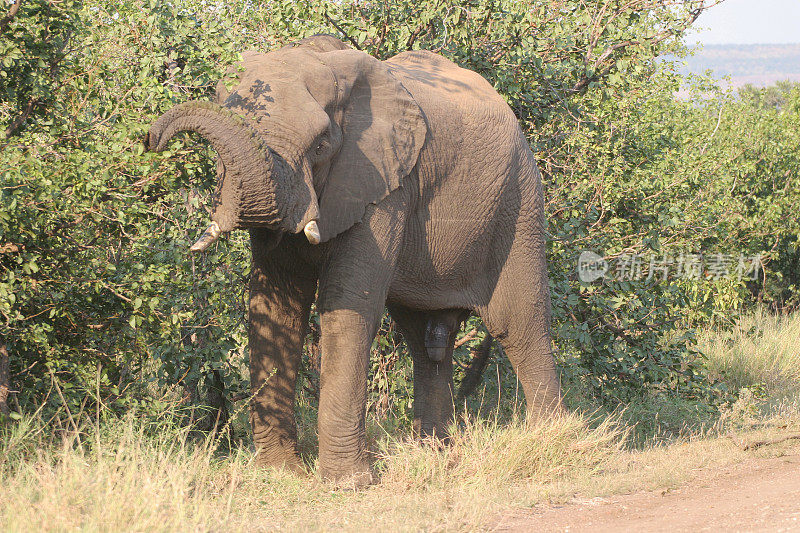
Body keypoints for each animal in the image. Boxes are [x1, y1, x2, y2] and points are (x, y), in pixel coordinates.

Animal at [148, 33, 564, 482]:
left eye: (322, 145)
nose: (152, 139)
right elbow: (275, 304)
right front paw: (282, 474)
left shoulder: (383, 185)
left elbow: (346, 303)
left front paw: (347, 483)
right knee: (424, 340)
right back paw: (436, 453)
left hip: (519, 201)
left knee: (517, 324)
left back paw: (552, 444)